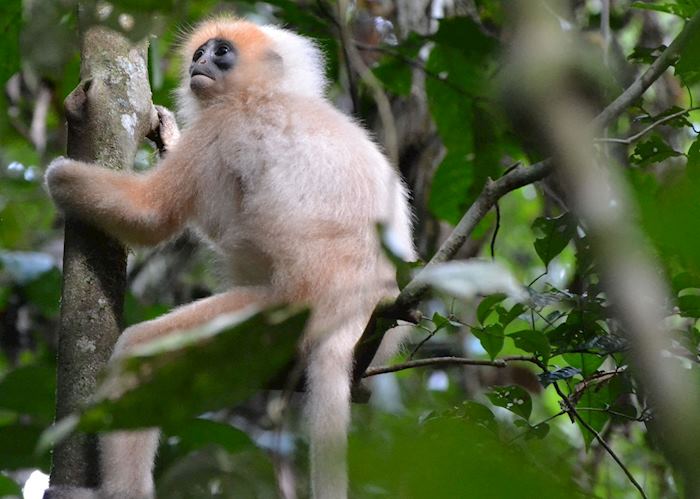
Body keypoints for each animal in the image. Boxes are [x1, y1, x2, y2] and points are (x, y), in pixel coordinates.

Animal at [45, 17, 415, 499]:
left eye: (220, 52)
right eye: (200, 52)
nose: (199, 62)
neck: (266, 92)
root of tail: (352, 312)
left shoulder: (222, 125)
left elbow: (151, 214)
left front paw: (60, 177)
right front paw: (168, 134)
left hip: (275, 315)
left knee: (141, 349)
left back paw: (121, 491)